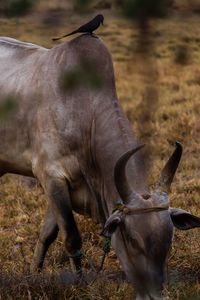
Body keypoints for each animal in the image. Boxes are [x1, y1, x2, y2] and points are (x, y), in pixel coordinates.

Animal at [0, 35, 200, 300]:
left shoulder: (65, 186)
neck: (86, 116)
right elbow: (71, 238)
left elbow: (48, 234)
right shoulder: (51, 177)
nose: (155, 293)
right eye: (132, 239)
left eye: (169, 240)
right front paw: (79, 283)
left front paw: (33, 275)